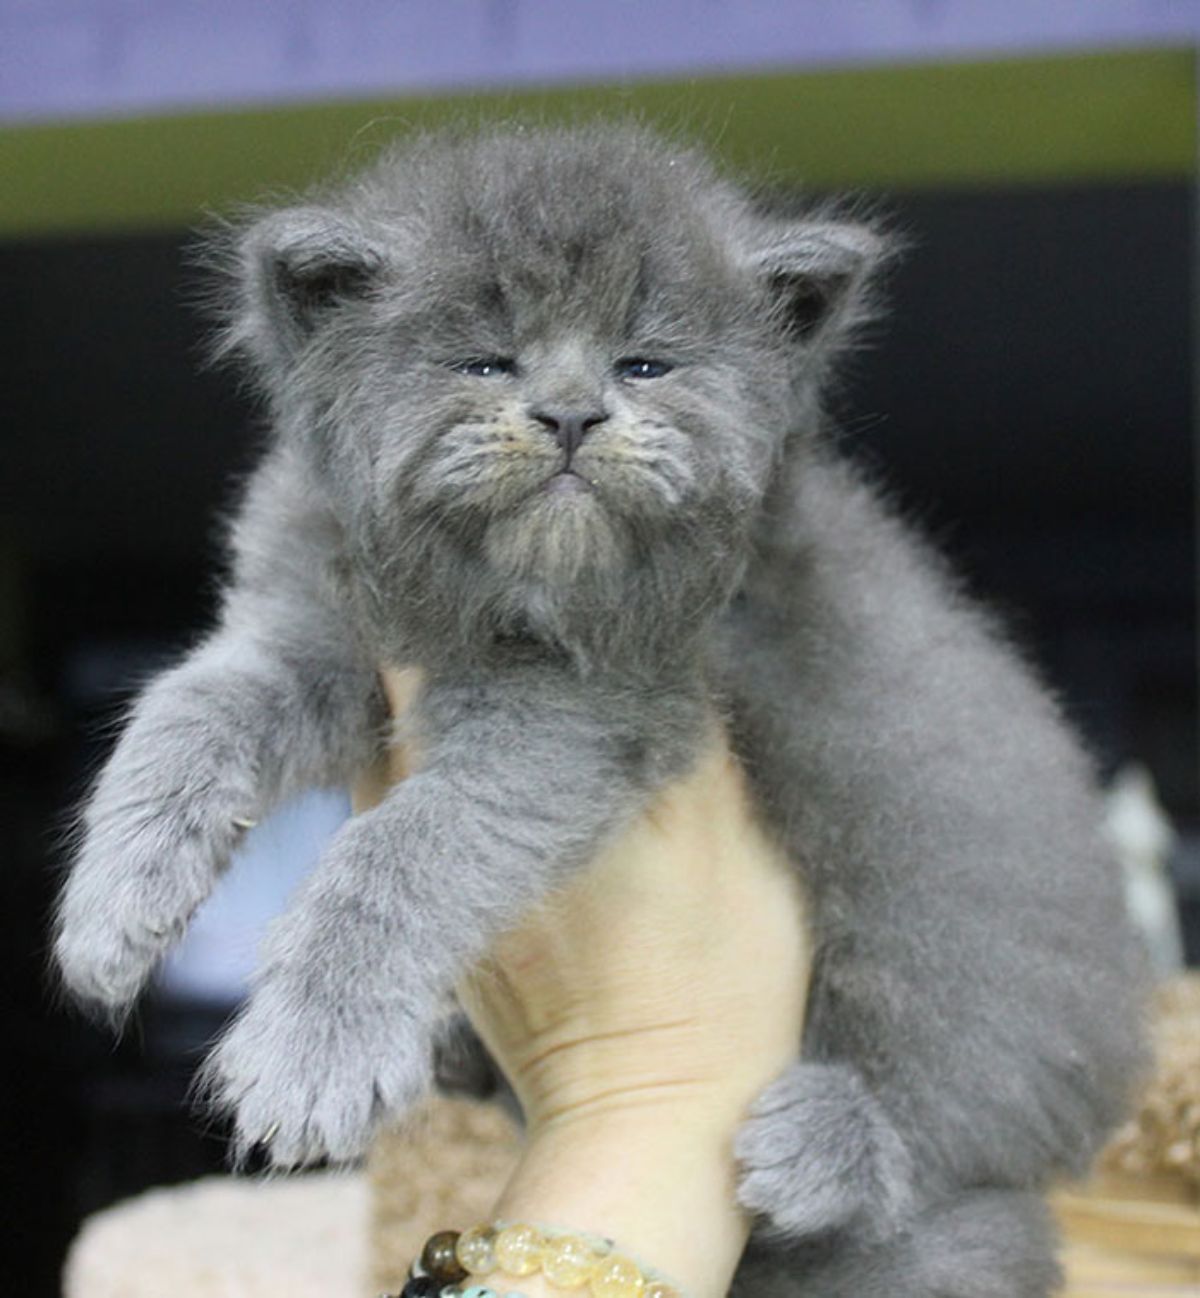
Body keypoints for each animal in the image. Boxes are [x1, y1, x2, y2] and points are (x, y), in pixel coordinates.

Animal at [53, 123, 1142, 1298]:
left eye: (645, 364)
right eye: (486, 360)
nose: (572, 413)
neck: (489, 600)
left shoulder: (586, 713)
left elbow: (399, 849)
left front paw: (313, 1051)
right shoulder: (311, 626)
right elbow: (188, 708)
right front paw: (113, 907)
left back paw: (825, 1142)